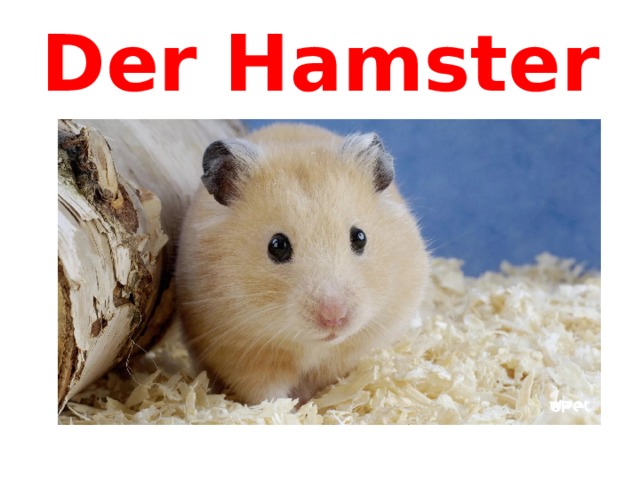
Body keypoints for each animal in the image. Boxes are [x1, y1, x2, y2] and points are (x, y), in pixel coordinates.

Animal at [175, 123, 430, 406]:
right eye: (277, 246)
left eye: (360, 237)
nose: (334, 318)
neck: (313, 345)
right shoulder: (241, 354)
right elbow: (266, 393)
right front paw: (290, 409)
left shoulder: (358, 347)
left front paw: (318, 403)